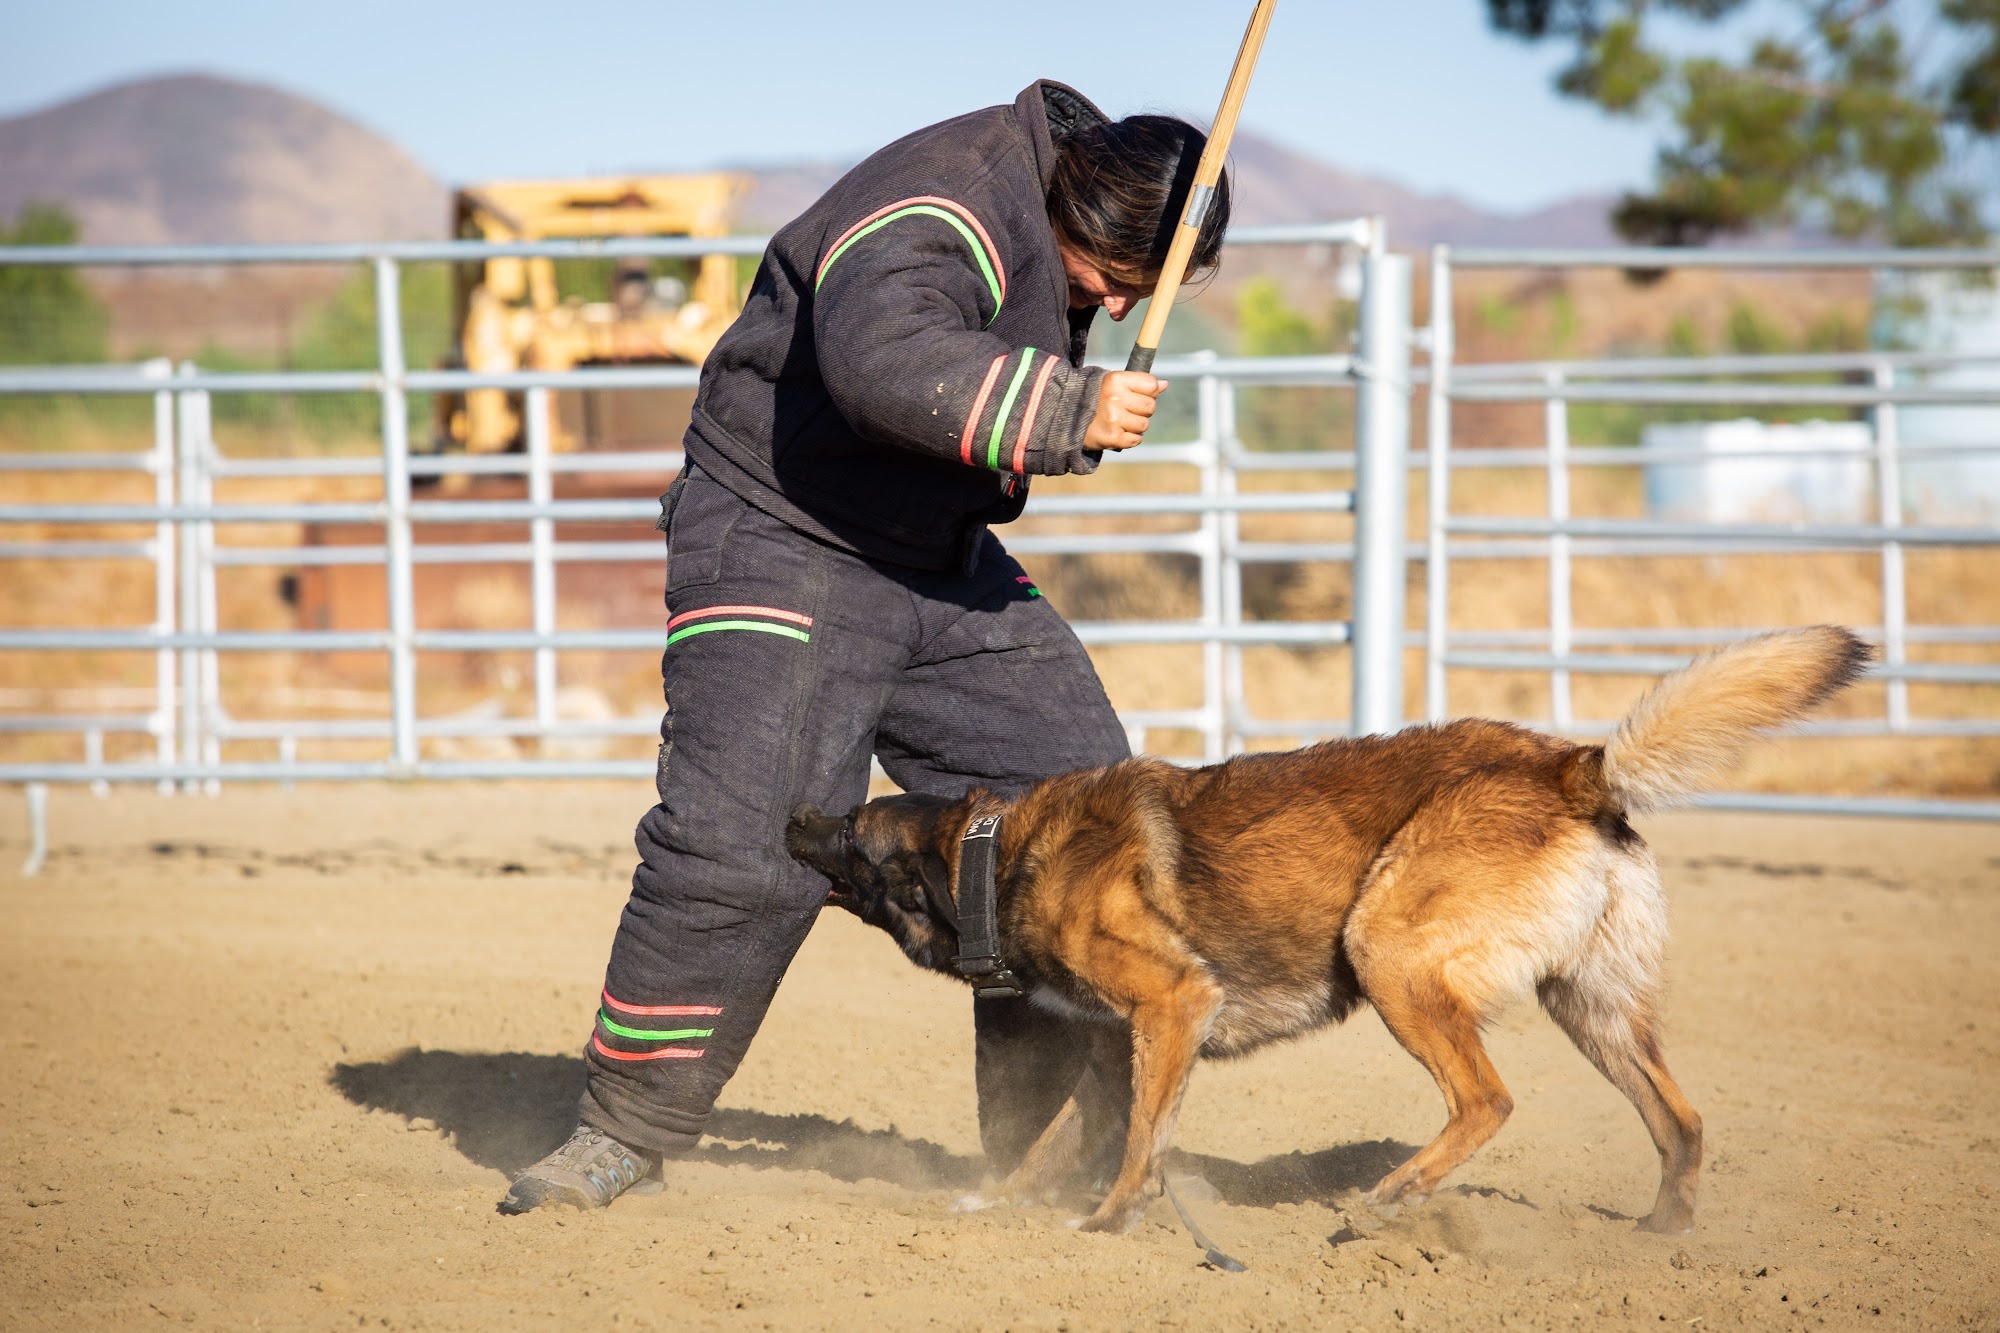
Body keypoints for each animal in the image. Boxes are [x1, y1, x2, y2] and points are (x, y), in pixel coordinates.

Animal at [784, 628, 1872, 1232]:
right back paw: (1661, 1234)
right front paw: (1001, 1201)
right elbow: (1063, 1139)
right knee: (1679, 1121)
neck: (992, 853)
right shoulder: (1114, 1041)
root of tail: (1571, 766)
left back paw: (1391, 1197)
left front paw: (1111, 1219)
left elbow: (1141, 1139)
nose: (793, 814)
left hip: (1389, 955)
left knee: (1486, 1100)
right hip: (1591, 1007)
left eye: (851, 833)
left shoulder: (1171, 1005)